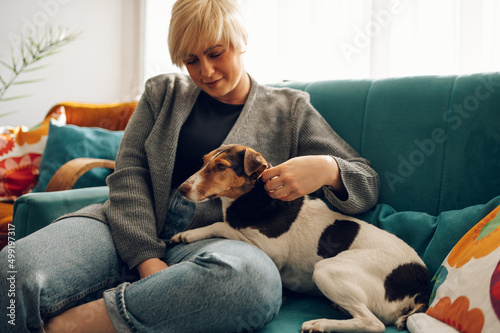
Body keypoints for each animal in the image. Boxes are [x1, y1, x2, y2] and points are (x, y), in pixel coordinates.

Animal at [171, 144, 430, 330]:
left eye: (221, 167)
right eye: (204, 161)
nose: (181, 189)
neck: (256, 196)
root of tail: (422, 284)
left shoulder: (270, 251)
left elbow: (221, 225)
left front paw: (189, 234)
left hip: (326, 269)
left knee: (373, 323)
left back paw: (321, 324)